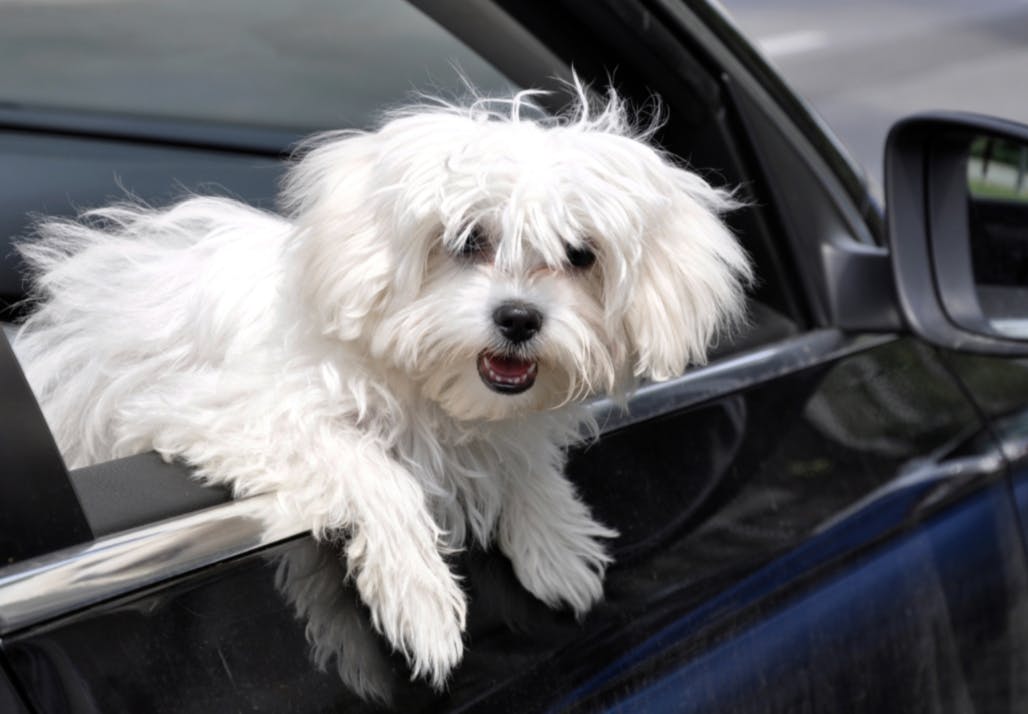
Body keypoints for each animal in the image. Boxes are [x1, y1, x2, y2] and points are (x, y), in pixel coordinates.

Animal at [12, 86, 752, 690]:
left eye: (580, 255)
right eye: (467, 239)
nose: (518, 318)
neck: (420, 381)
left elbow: (518, 459)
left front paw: (554, 539)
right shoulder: (233, 412)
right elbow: (375, 470)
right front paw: (421, 599)